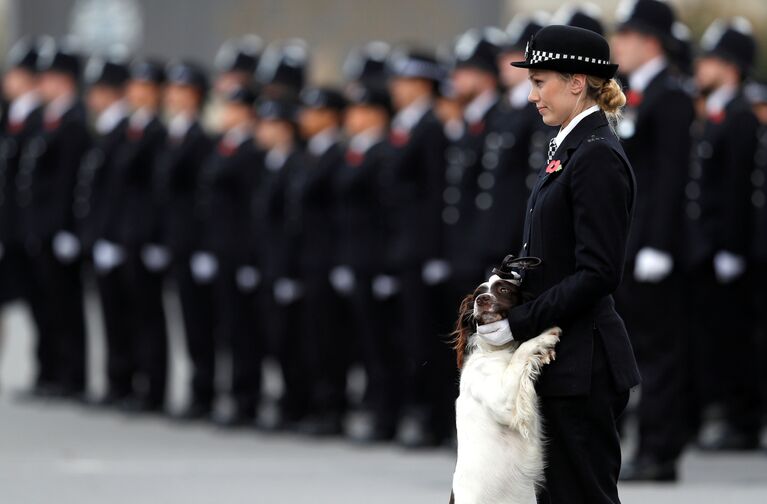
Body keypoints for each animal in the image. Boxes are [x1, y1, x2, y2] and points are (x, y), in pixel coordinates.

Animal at [452, 260, 560, 504]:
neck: (497, 350)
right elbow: (522, 352)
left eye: (503, 289)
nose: (482, 300)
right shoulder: (504, 403)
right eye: (478, 295)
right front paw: (544, 337)